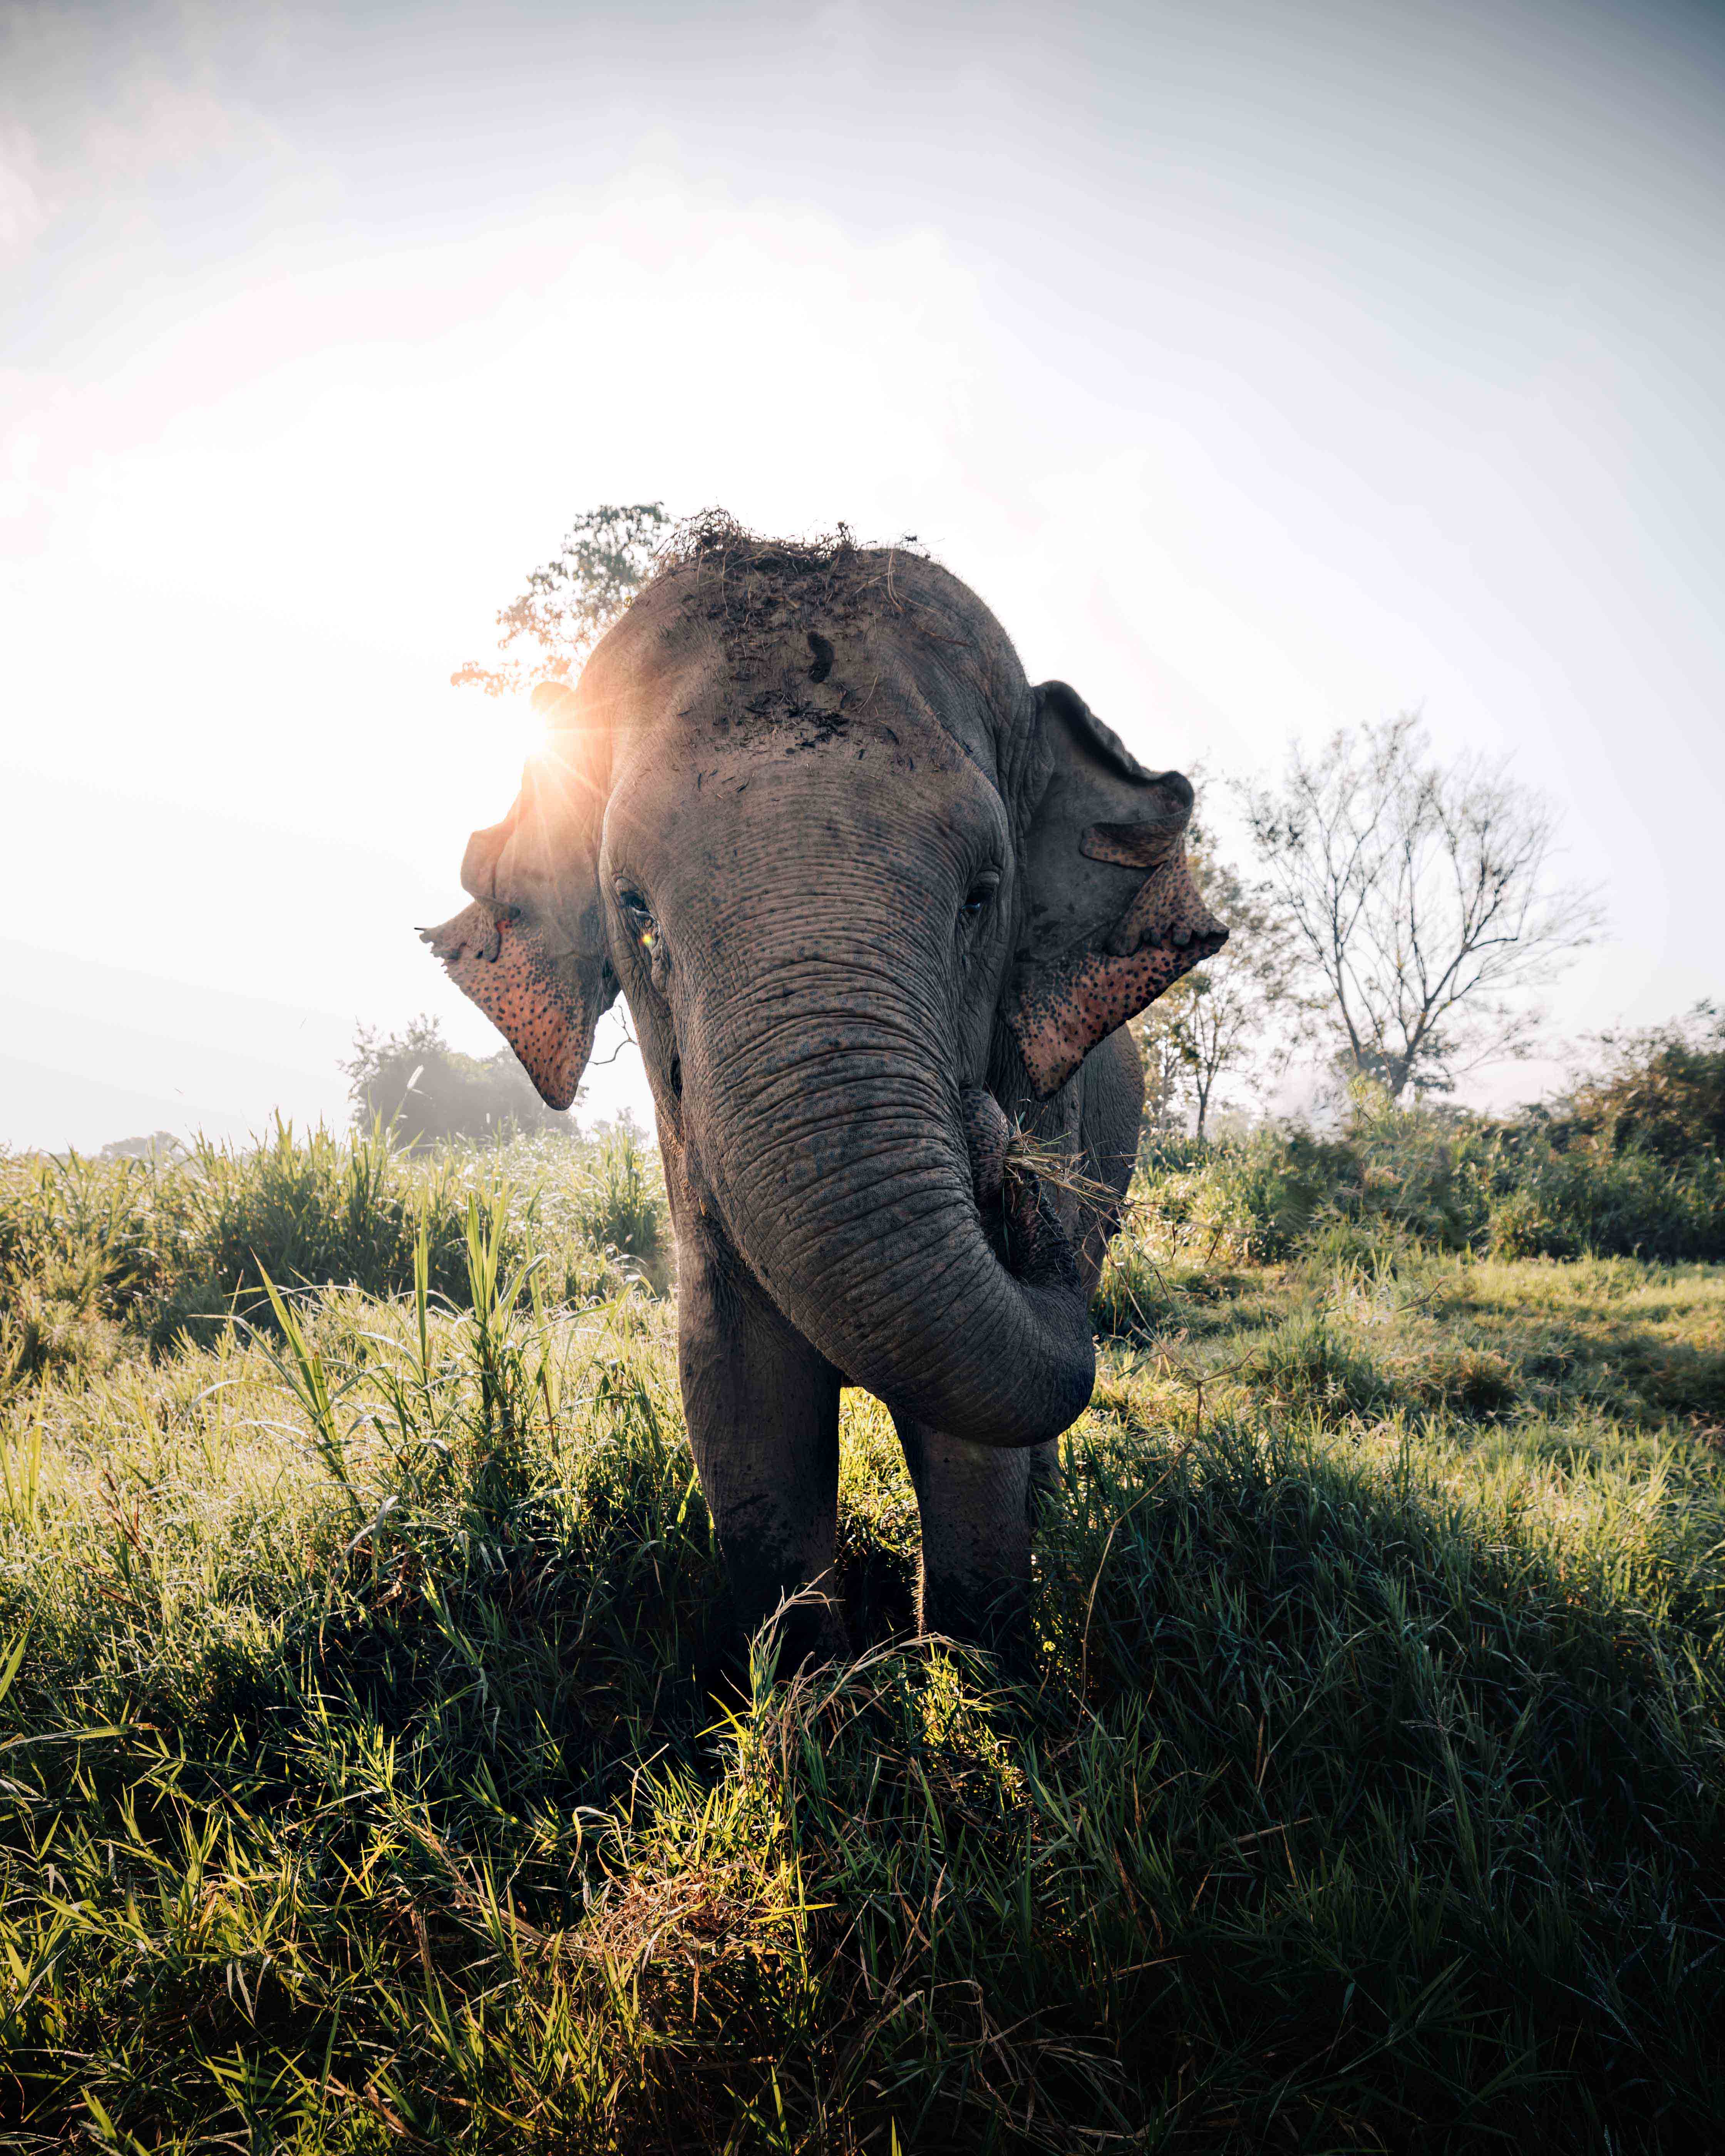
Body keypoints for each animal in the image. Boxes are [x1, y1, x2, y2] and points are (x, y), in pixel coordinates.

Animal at [423, 526, 1226, 1659]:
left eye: (982, 898)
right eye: (635, 909)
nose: (1002, 1157)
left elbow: (969, 1434)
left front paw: (981, 1672)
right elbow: (738, 1392)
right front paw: (802, 1680)